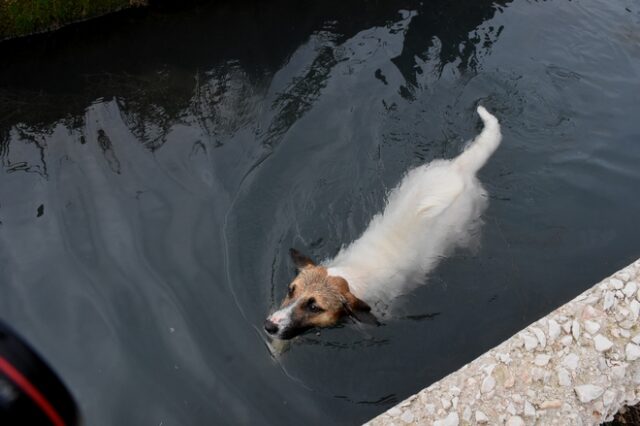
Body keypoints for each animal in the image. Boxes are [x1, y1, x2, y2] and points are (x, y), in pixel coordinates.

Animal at [264, 105, 500, 340]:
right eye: (291, 290)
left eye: (314, 307)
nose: (269, 326)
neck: (350, 277)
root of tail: (459, 168)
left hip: (468, 223)